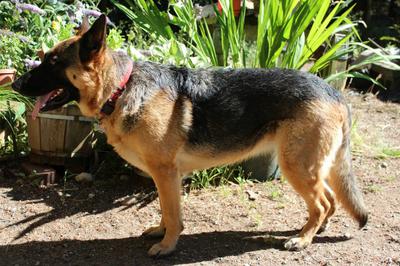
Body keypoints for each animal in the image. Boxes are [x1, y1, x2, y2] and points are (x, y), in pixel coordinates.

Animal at [12, 15, 368, 258]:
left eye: (53, 62)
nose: (13, 84)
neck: (120, 89)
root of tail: (333, 91)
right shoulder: (163, 177)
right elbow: (165, 209)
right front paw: (160, 232)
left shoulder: (166, 172)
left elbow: (173, 213)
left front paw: (167, 245)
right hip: (309, 167)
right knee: (330, 200)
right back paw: (316, 230)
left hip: (297, 166)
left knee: (322, 202)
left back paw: (304, 238)